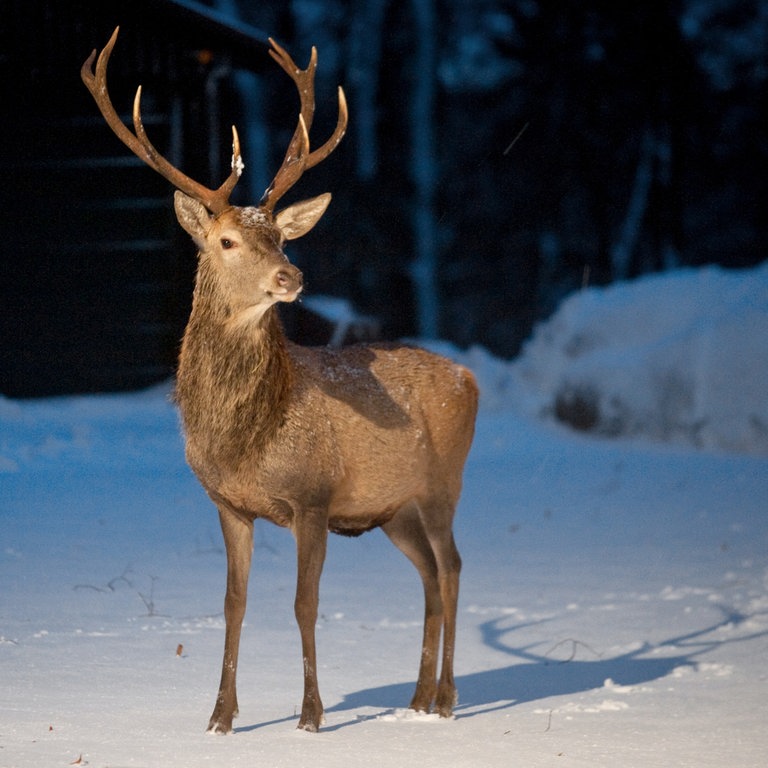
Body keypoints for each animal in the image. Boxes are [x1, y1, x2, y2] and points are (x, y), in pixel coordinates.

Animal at [84, 28, 476, 732]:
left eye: (282, 239)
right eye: (227, 241)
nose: (291, 277)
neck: (245, 439)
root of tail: (471, 378)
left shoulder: (312, 496)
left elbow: (303, 603)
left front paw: (311, 715)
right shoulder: (227, 504)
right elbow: (233, 603)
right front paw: (219, 718)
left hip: (442, 484)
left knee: (454, 568)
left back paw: (446, 700)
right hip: (394, 508)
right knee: (430, 577)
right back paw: (416, 697)